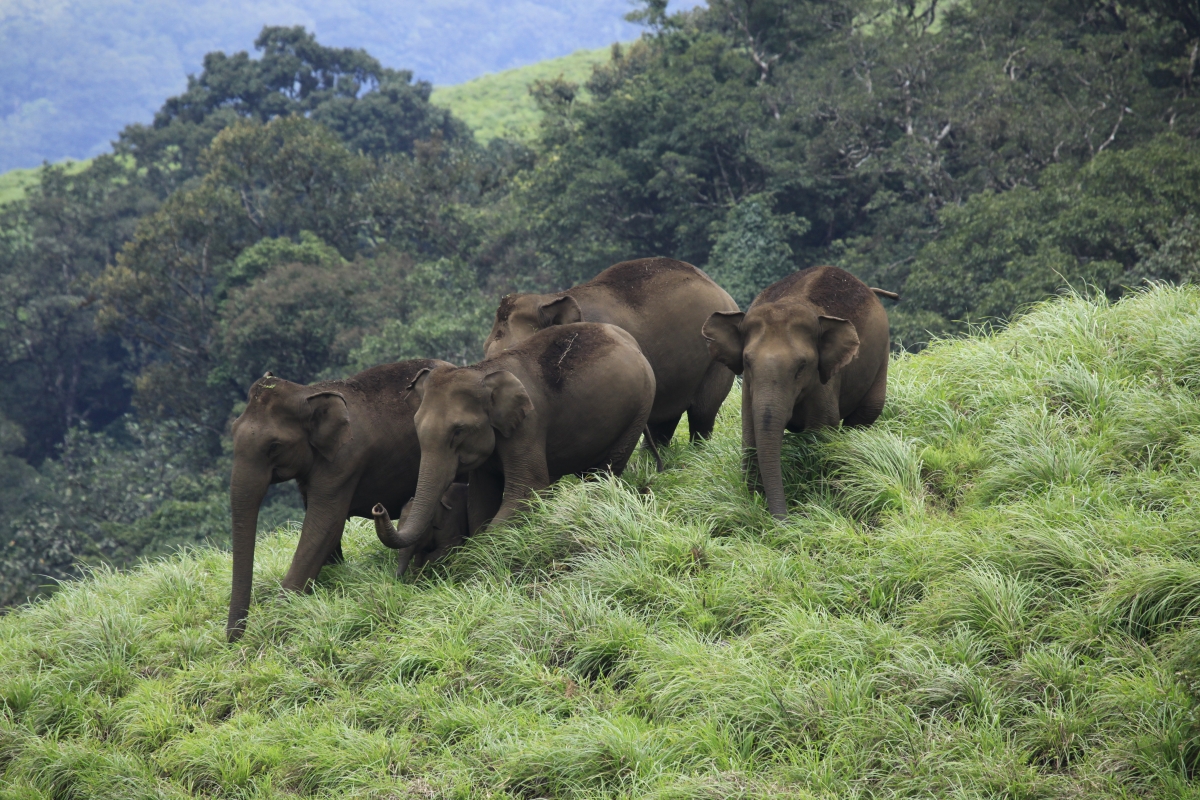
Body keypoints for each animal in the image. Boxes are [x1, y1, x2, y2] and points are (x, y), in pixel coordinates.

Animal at [227, 358, 451, 641]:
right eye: (232, 431)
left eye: (274, 446)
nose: (233, 641)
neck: (309, 392)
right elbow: (324, 529)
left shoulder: (344, 462)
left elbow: (324, 526)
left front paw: (278, 621)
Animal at [374, 322, 656, 548]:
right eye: (417, 427)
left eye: (458, 431)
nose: (379, 508)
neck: (481, 372)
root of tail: (632, 341)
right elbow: (481, 498)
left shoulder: (528, 425)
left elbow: (527, 487)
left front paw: (480, 553)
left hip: (639, 407)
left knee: (607, 468)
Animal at [702, 266, 893, 519]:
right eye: (747, 362)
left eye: (802, 366)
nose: (783, 519)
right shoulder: (750, 387)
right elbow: (751, 429)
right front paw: (752, 501)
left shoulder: (824, 380)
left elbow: (821, 430)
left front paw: (818, 499)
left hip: (882, 357)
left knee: (866, 413)